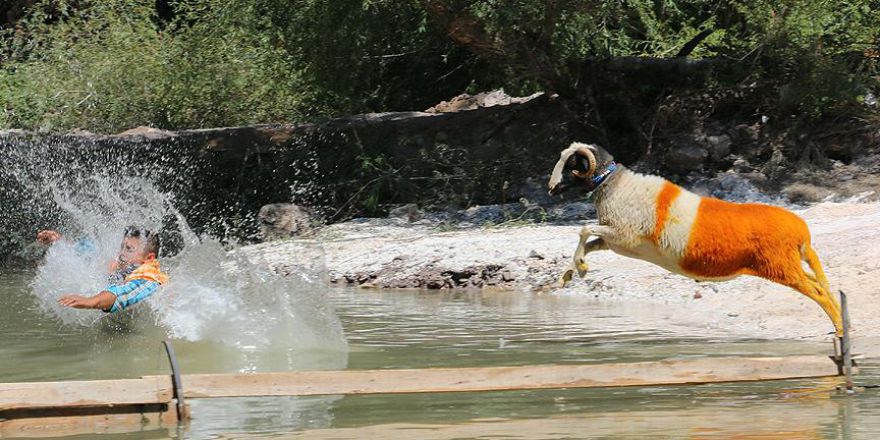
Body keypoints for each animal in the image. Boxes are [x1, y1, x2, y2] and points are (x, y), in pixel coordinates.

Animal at [548, 143, 844, 336]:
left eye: (571, 165)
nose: (550, 188)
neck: (616, 186)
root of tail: (802, 231)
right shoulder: (615, 240)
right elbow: (588, 241)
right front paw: (572, 272)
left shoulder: (624, 234)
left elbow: (584, 229)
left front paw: (580, 269)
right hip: (788, 265)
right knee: (820, 284)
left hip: (781, 267)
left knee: (818, 292)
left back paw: (840, 328)